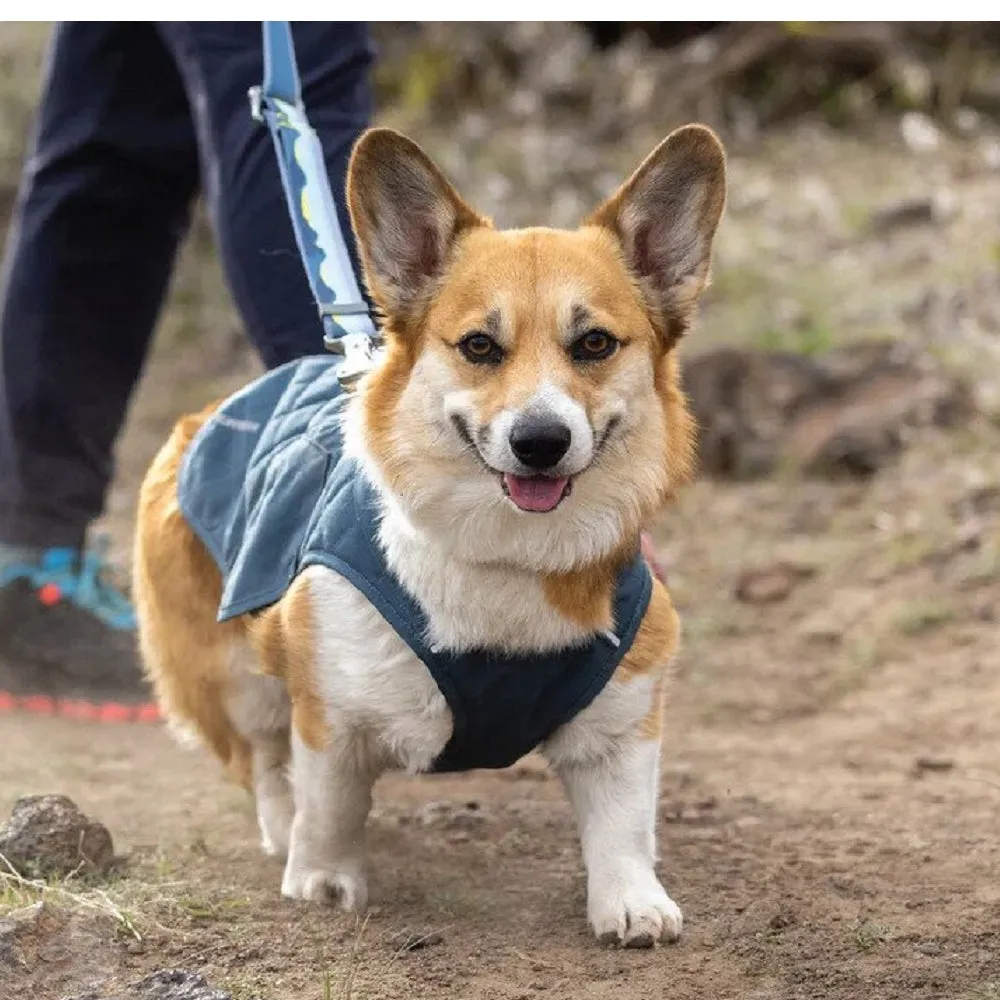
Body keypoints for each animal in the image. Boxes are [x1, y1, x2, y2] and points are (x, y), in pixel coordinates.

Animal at [133, 123, 728, 944]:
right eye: (479, 346)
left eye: (595, 345)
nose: (539, 442)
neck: (510, 559)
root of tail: (212, 411)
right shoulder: (331, 712)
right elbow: (329, 804)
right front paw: (324, 881)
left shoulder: (622, 721)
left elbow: (623, 827)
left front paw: (633, 904)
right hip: (234, 675)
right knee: (265, 762)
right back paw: (283, 835)